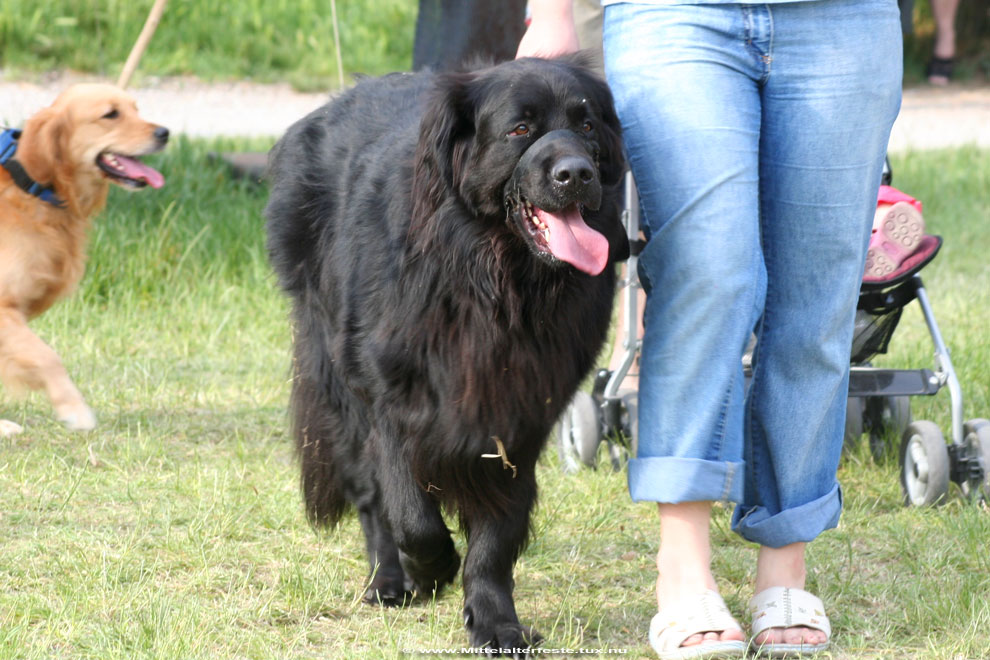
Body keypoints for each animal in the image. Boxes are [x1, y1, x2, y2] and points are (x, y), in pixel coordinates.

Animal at [268, 58, 628, 656]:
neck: (493, 281)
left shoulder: (517, 419)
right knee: (370, 495)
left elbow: (497, 536)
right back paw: (389, 581)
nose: (576, 173)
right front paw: (431, 571)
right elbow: (411, 513)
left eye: (587, 125)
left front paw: (495, 622)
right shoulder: (392, 402)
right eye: (520, 129)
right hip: (336, 375)